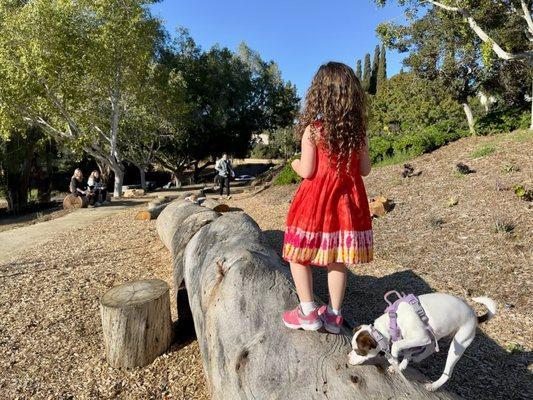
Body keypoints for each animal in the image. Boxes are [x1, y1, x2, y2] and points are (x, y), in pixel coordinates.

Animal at [348, 294, 496, 390]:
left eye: (358, 352)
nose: (348, 357)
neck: (393, 320)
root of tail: (474, 316)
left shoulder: (419, 337)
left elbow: (396, 346)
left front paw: (394, 361)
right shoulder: (410, 337)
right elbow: (407, 351)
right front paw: (400, 366)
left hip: (458, 344)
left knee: (447, 372)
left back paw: (433, 385)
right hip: (436, 333)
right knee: (430, 347)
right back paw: (418, 358)